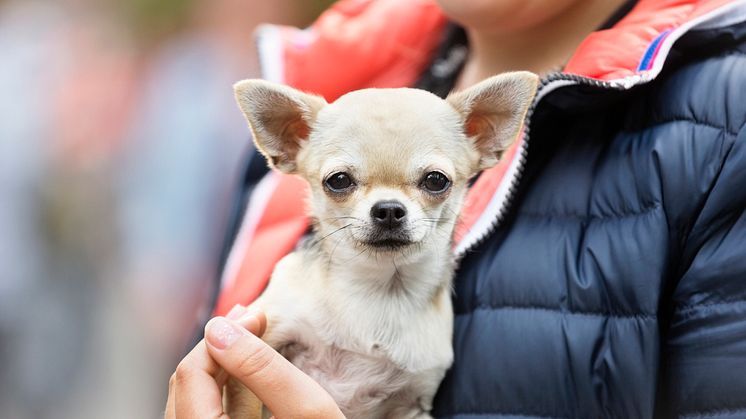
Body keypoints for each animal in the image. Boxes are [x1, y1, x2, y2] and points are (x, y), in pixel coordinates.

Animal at [225, 71, 536, 416]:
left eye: (436, 180)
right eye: (338, 180)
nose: (388, 209)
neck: (381, 290)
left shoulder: (413, 403)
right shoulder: (263, 333)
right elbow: (245, 406)